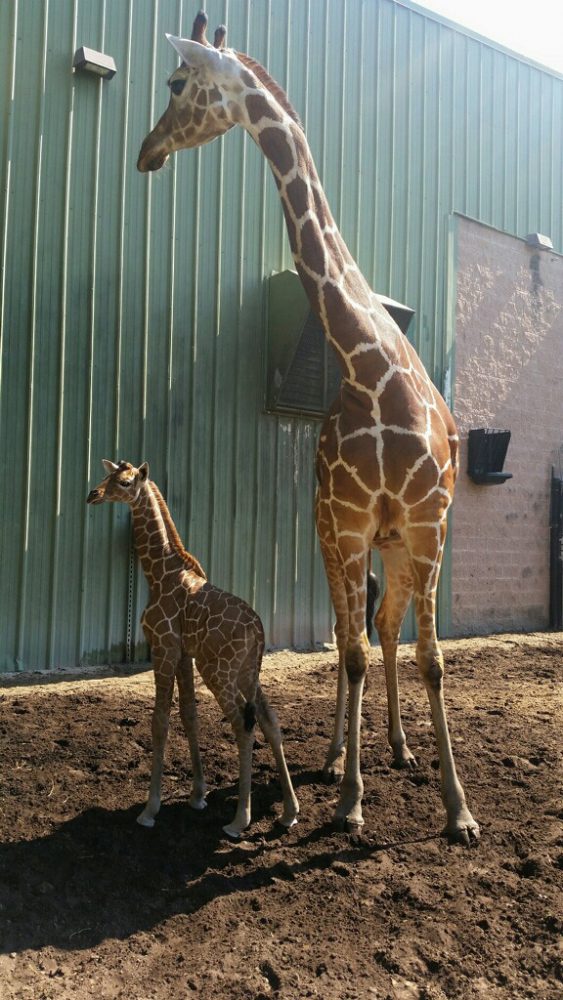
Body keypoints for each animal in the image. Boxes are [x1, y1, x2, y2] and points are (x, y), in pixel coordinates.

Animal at [86, 459, 299, 838]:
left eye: (124, 482)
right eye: (108, 475)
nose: (92, 494)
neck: (157, 574)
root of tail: (259, 632)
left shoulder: (163, 646)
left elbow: (160, 721)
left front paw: (150, 810)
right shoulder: (185, 654)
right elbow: (189, 715)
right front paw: (198, 795)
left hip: (217, 670)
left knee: (243, 726)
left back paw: (239, 820)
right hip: (246, 672)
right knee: (270, 720)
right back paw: (289, 812)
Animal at [137, 12, 479, 845]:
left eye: (177, 82)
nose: (147, 151)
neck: (367, 366)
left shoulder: (428, 525)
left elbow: (431, 659)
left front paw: (457, 810)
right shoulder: (348, 525)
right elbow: (349, 652)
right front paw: (350, 798)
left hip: (397, 544)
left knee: (383, 629)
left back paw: (397, 747)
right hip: (336, 538)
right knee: (353, 632)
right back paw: (335, 759)